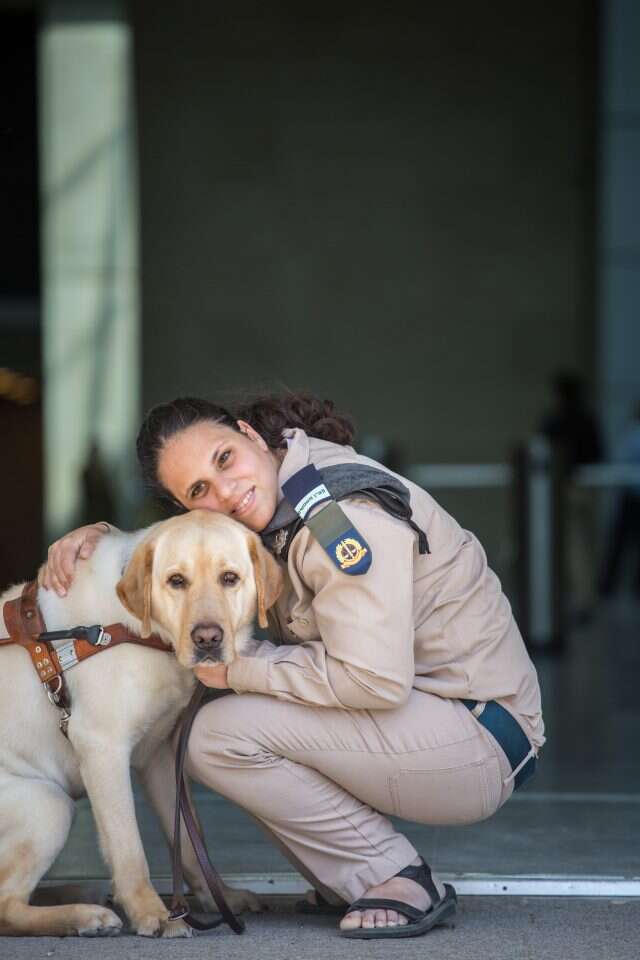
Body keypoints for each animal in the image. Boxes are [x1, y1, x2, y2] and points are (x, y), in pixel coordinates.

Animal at [0, 510, 280, 936]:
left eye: (230, 577)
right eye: (176, 580)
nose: (208, 638)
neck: (141, 630)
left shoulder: (160, 754)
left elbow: (191, 843)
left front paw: (221, 897)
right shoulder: (102, 745)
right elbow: (128, 844)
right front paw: (153, 912)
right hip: (46, 804)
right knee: (6, 905)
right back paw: (84, 915)